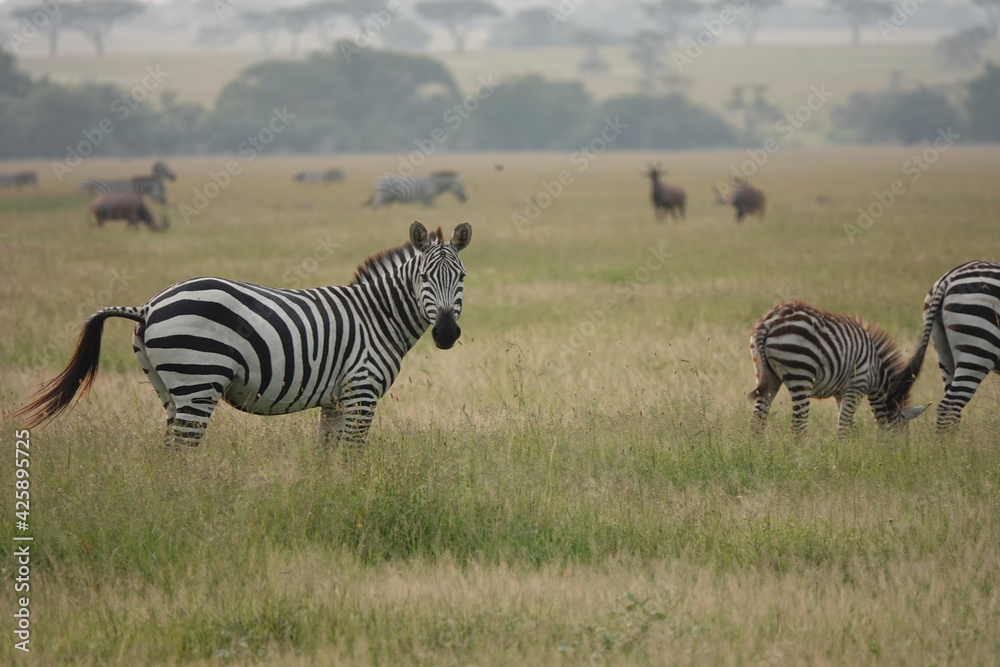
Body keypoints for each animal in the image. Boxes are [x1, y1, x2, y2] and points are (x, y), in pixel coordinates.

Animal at [14, 221, 473, 448]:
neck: (377, 316)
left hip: (166, 386)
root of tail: (148, 306)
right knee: (180, 451)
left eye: (462, 277)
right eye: (424, 278)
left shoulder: (336, 399)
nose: (447, 333)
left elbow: (326, 457)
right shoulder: (362, 392)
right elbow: (351, 455)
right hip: (198, 381)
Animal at [749, 301, 927, 435]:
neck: (877, 370)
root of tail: (769, 321)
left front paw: (850, 449)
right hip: (801, 373)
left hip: (767, 375)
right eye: (902, 432)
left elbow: (849, 426)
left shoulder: (840, 393)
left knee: (757, 420)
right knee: (798, 425)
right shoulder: (857, 386)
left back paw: (758, 452)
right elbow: (843, 426)